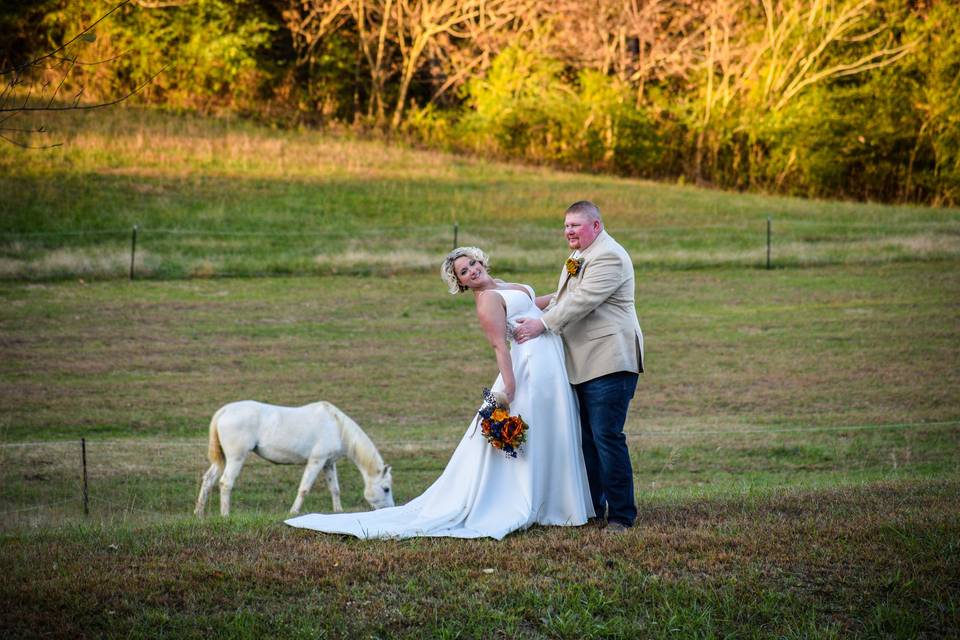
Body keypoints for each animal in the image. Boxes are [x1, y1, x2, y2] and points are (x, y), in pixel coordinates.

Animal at [195, 398, 394, 516]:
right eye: (386, 489)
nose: (391, 509)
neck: (337, 426)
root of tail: (225, 411)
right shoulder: (316, 461)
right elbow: (304, 489)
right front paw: (293, 512)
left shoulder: (328, 464)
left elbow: (334, 489)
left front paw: (338, 511)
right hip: (236, 458)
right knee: (225, 483)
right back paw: (225, 514)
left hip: (223, 460)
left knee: (208, 480)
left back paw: (199, 512)